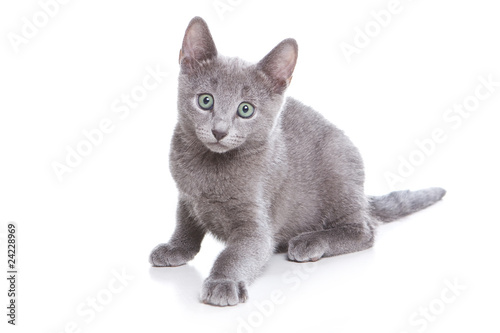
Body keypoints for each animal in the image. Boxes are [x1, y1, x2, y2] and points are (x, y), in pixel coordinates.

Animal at [148, 16, 446, 304]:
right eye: (205, 101)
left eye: (245, 109)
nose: (219, 131)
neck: (209, 168)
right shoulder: (186, 196)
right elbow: (185, 224)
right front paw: (175, 247)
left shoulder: (256, 223)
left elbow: (236, 254)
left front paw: (223, 282)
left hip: (340, 168)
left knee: (365, 230)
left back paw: (309, 242)